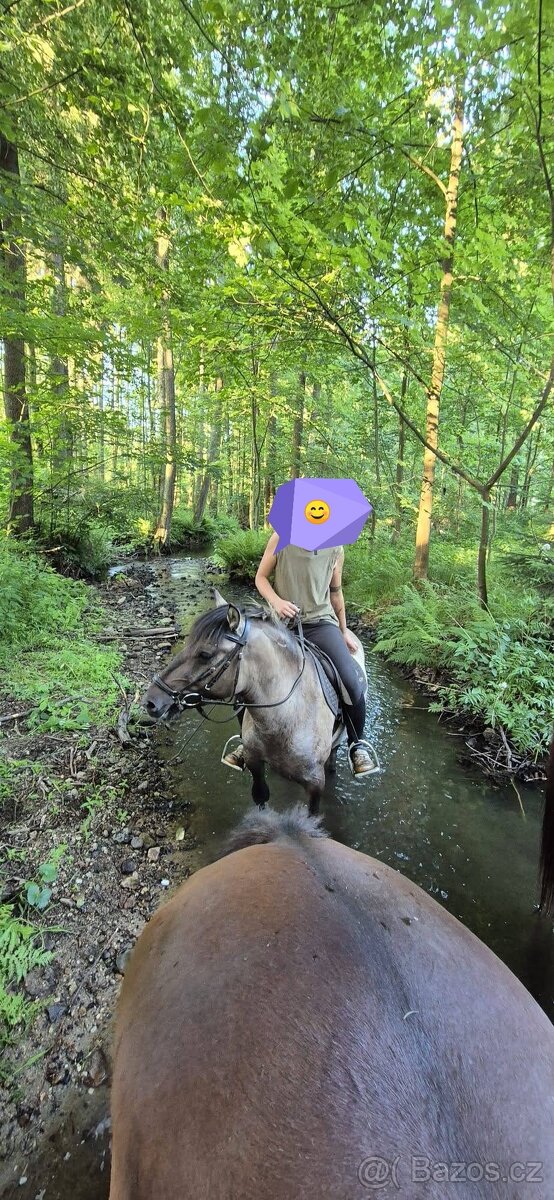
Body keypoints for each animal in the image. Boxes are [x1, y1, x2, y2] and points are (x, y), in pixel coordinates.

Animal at [143, 589, 372, 813]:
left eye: (205, 654)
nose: (150, 702)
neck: (289, 714)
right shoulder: (255, 763)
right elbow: (261, 798)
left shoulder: (315, 784)